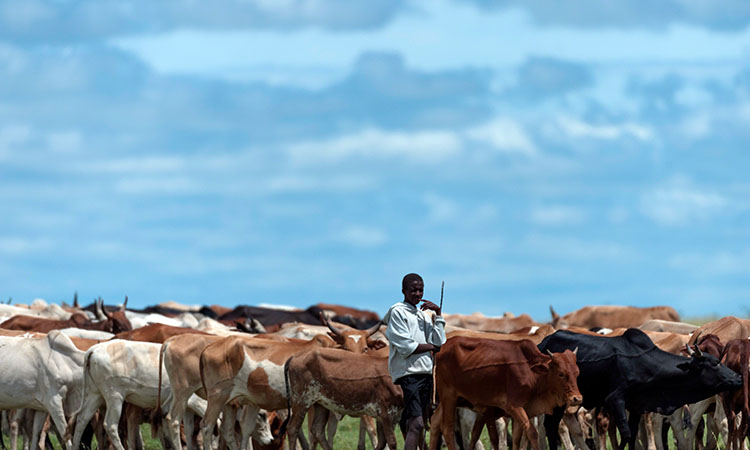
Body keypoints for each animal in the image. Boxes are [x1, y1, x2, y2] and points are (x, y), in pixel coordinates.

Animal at [428, 336, 580, 450]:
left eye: (577, 373)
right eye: (561, 374)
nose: (577, 398)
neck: (531, 370)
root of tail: (441, 349)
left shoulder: (520, 410)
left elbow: (517, 438)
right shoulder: (513, 406)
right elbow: (532, 432)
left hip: (449, 400)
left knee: (435, 422)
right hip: (449, 397)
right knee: (447, 428)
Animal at [540, 326, 748, 450]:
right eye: (715, 363)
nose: (738, 378)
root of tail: (542, 343)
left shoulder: (637, 406)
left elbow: (631, 435)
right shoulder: (615, 400)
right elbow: (625, 433)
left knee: (551, 426)